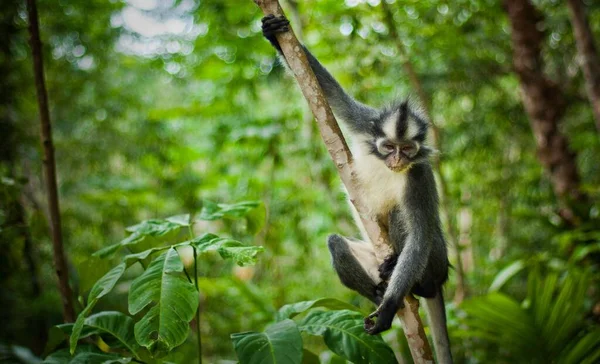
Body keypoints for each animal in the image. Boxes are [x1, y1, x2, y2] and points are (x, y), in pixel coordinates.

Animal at [260, 14, 452, 364]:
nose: (396, 158)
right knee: (337, 244)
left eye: (407, 148)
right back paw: (378, 290)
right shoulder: (368, 124)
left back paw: (407, 287)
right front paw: (273, 32)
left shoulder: (420, 175)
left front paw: (388, 309)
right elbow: (333, 97)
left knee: (406, 221)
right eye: (388, 146)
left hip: (436, 263)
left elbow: (420, 235)